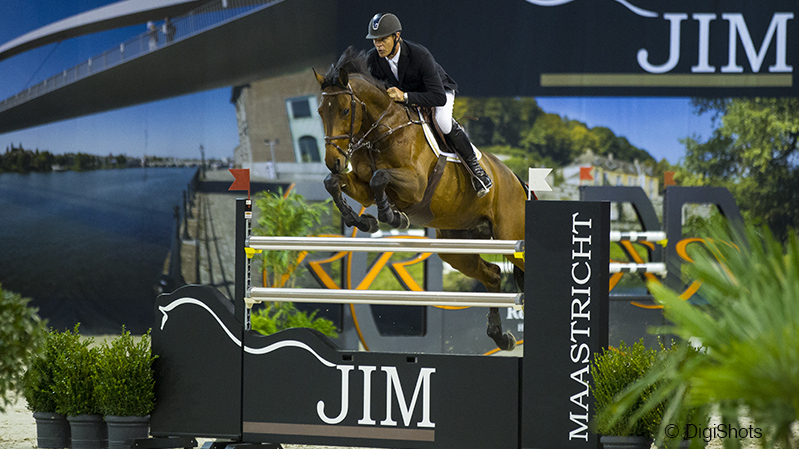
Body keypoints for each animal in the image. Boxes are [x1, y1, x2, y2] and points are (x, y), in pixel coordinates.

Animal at [314, 49, 532, 350]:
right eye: (321, 111)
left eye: (346, 110)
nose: (333, 161)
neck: (381, 131)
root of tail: (516, 180)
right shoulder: (362, 187)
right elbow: (334, 183)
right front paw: (364, 221)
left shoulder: (415, 185)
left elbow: (380, 177)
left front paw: (392, 216)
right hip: (456, 246)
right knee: (493, 274)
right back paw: (502, 337)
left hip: (511, 237)